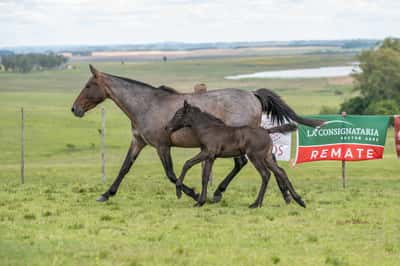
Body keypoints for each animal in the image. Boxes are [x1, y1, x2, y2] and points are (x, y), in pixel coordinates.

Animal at [166, 100, 306, 208]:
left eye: (178, 114)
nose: (167, 127)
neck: (207, 129)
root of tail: (267, 131)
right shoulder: (211, 157)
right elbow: (205, 177)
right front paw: (200, 202)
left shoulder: (207, 152)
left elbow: (187, 163)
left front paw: (179, 192)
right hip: (266, 157)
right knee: (281, 172)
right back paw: (299, 200)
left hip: (255, 156)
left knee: (266, 174)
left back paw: (256, 204)